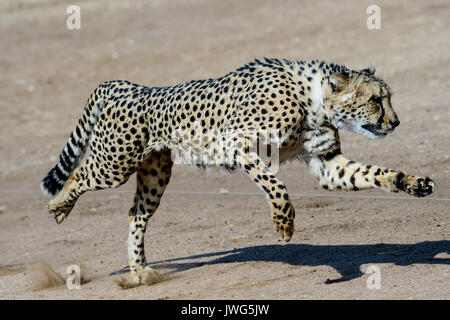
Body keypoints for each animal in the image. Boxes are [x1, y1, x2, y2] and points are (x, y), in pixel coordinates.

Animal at [42, 58, 436, 286]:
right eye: (376, 100)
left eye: (387, 98)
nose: (395, 122)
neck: (314, 101)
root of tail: (130, 86)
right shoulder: (234, 144)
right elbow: (275, 185)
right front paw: (284, 223)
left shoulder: (328, 164)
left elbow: (375, 173)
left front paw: (414, 183)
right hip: (114, 164)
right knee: (78, 176)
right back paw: (58, 207)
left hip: (154, 176)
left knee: (135, 214)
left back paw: (139, 271)